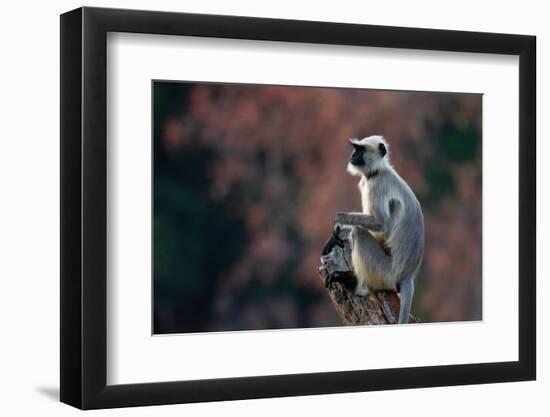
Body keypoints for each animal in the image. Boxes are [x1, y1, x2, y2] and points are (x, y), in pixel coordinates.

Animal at [328, 135, 426, 324]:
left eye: (360, 149)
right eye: (355, 149)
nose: (352, 155)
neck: (377, 172)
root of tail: (407, 274)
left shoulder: (376, 185)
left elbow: (379, 224)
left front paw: (338, 221)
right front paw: (334, 237)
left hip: (384, 272)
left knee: (358, 232)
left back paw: (356, 284)